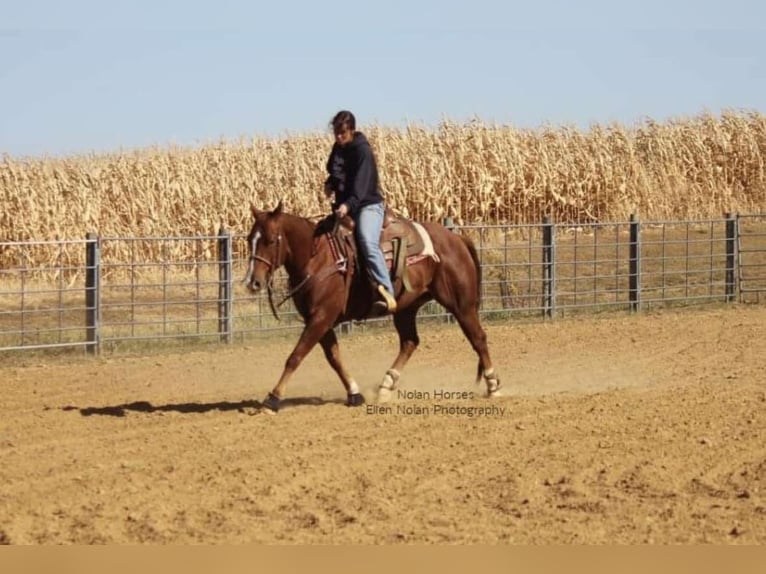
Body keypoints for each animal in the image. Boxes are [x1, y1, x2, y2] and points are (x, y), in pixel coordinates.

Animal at [243, 202, 500, 414]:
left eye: (271, 240)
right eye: (249, 239)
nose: (253, 282)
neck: (318, 258)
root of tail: (456, 239)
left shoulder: (321, 318)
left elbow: (295, 356)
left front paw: (273, 399)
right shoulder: (318, 320)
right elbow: (334, 357)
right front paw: (354, 394)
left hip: (461, 304)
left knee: (478, 338)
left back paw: (493, 385)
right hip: (406, 308)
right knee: (410, 342)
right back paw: (386, 386)